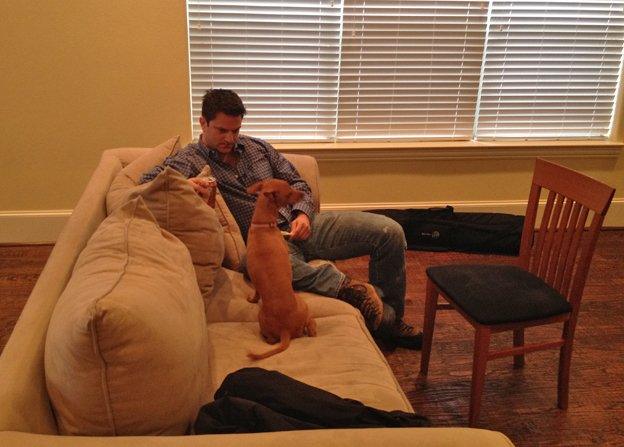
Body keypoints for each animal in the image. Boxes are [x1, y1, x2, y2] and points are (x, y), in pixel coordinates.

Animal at [245, 178, 316, 360]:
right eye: (289, 192)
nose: (304, 194)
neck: (263, 224)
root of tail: (285, 330)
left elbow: (256, 292)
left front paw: (252, 299)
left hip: (263, 323)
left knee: (270, 340)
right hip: (304, 305)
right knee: (310, 325)